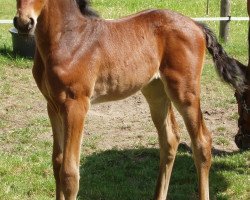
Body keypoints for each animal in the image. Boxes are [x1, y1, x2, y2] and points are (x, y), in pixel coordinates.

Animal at [13, 0, 246, 200]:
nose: (23, 23)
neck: (69, 38)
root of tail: (197, 25)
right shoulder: (52, 106)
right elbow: (57, 162)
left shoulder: (76, 105)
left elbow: (69, 174)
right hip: (156, 91)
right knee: (170, 140)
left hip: (184, 91)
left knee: (202, 142)